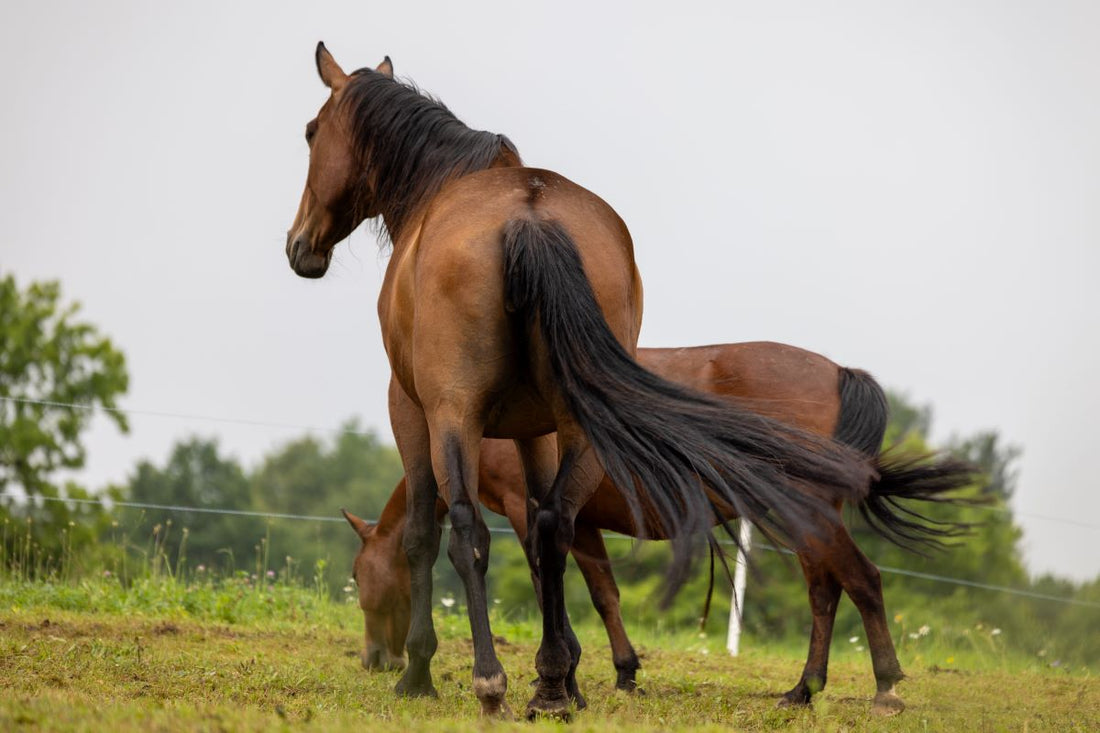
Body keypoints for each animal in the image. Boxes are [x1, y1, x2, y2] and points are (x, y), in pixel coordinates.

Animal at [286, 44, 877, 718]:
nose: (300, 246)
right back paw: (552, 688)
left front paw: (421, 670)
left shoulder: (412, 412)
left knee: (468, 533)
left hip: (459, 415)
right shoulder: (537, 434)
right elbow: (565, 560)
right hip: (584, 428)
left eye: (311, 133)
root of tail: (530, 215)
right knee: (557, 528)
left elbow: (426, 536)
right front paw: (573, 672)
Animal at [343, 341, 974, 715]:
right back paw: (802, 690)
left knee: (862, 581)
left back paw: (886, 686)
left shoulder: (529, 511)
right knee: (825, 593)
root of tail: (838, 372)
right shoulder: (580, 521)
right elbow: (604, 594)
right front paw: (618, 673)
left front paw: (567, 675)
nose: (374, 659)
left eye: (360, 577)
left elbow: (553, 580)